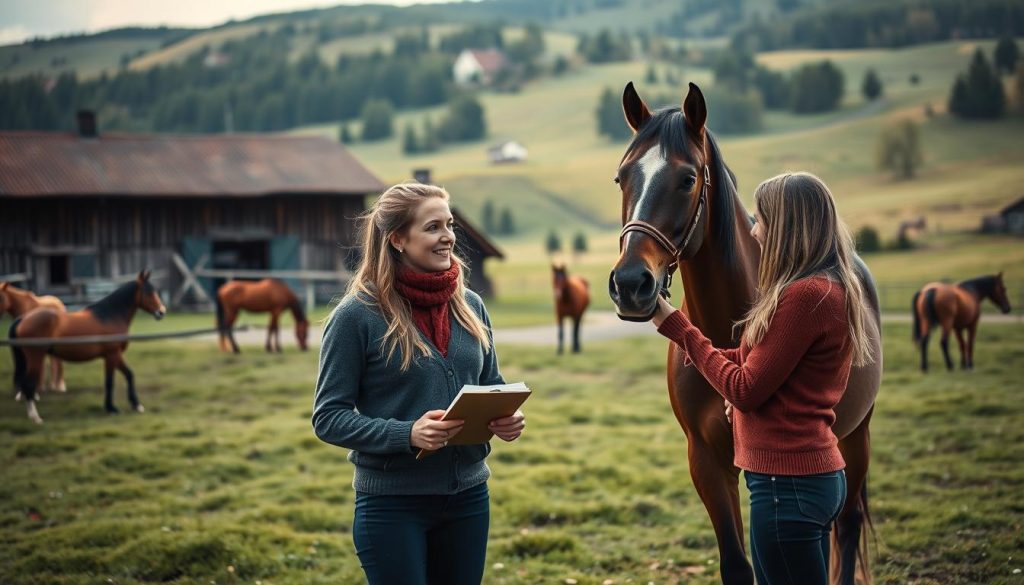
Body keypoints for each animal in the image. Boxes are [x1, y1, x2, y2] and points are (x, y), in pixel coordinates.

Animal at [8, 272, 165, 424]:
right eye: (149, 292)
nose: (161, 312)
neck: (110, 315)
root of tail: (23, 318)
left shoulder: (114, 355)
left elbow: (129, 375)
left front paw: (136, 405)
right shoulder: (112, 355)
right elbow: (110, 382)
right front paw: (112, 408)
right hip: (36, 358)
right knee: (28, 385)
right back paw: (36, 418)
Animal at [602, 82, 884, 585]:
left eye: (688, 179)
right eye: (621, 178)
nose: (631, 284)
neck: (727, 336)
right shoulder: (707, 462)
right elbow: (737, 562)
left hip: (856, 437)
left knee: (848, 524)